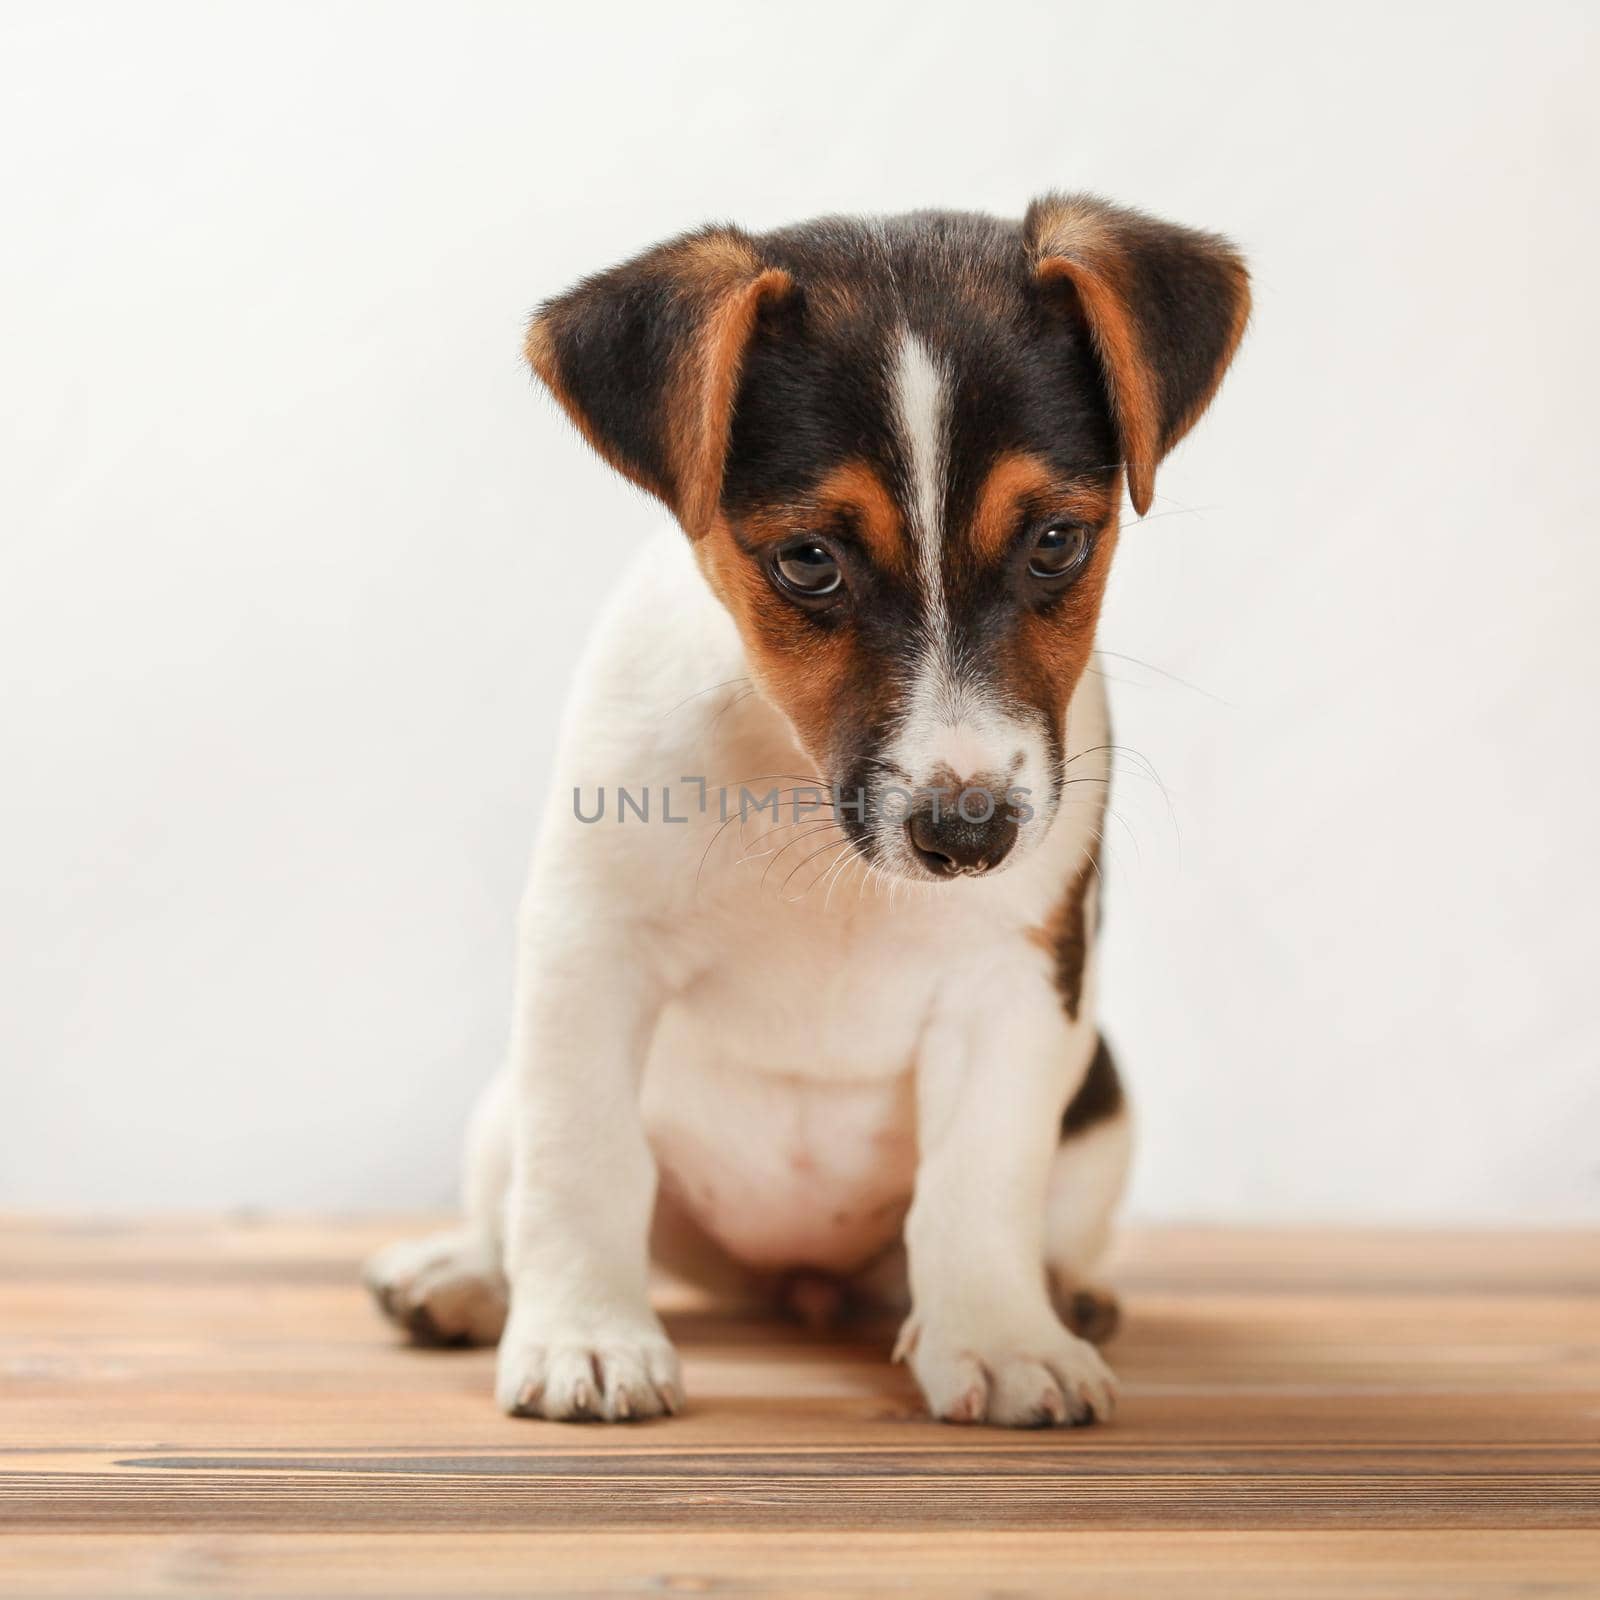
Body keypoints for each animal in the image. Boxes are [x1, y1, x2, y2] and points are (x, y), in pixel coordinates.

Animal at [366, 193, 1248, 1433]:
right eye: (807, 561)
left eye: (1057, 540)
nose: (968, 832)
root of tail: (794, 1280)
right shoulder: (591, 947)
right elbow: (584, 1161)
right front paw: (588, 1337)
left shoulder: (1015, 981)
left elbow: (978, 1178)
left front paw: (1001, 1335)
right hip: (505, 1104)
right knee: (519, 1196)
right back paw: (460, 1275)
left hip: (1100, 1106)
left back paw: (1063, 1293)